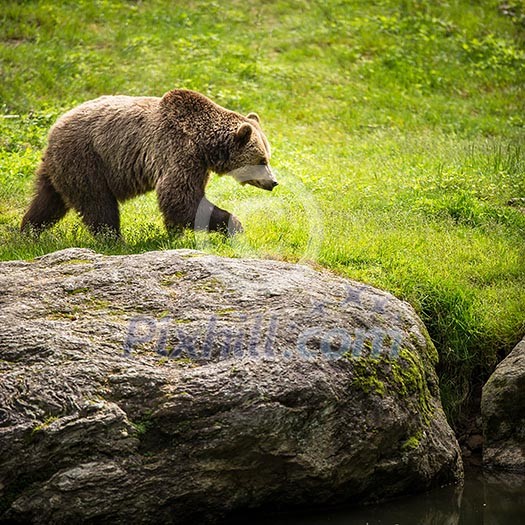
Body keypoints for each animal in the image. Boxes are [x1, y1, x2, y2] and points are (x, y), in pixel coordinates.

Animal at [21, 89, 274, 236]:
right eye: (262, 159)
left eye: (268, 157)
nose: (274, 182)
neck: (204, 144)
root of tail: (55, 127)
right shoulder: (178, 151)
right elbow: (179, 197)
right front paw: (234, 225)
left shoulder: (198, 164)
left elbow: (180, 200)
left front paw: (174, 233)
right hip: (86, 159)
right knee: (97, 203)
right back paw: (112, 239)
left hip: (58, 167)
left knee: (47, 200)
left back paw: (28, 231)